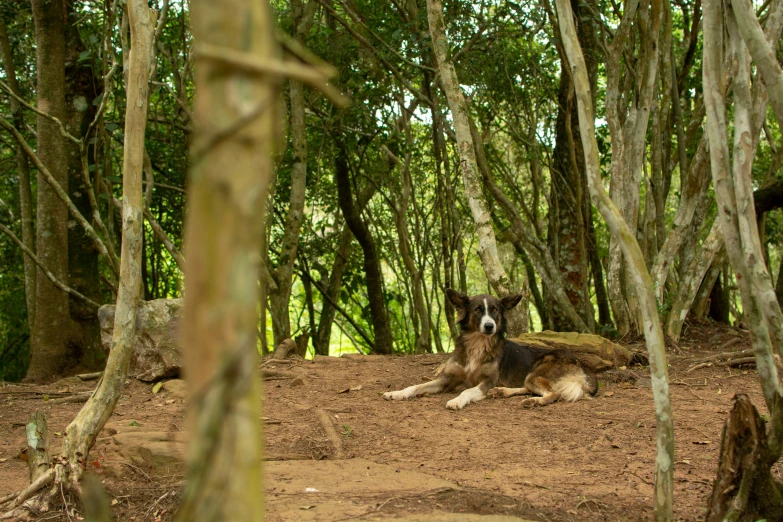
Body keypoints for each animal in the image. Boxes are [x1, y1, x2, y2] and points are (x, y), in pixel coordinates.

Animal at [382, 286, 596, 408]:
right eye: (478, 310)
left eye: (494, 310)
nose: (489, 326)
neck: (478, 344)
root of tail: (578, 363)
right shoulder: (446, 379)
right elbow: (415, 386)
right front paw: (396, 393)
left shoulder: (487, 381)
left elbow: (467, 391)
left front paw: (457, 400)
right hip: (530, 378)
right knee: (529, 388)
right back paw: (502, 392)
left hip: (536, 373)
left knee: (554, 393)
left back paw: (533, 402)